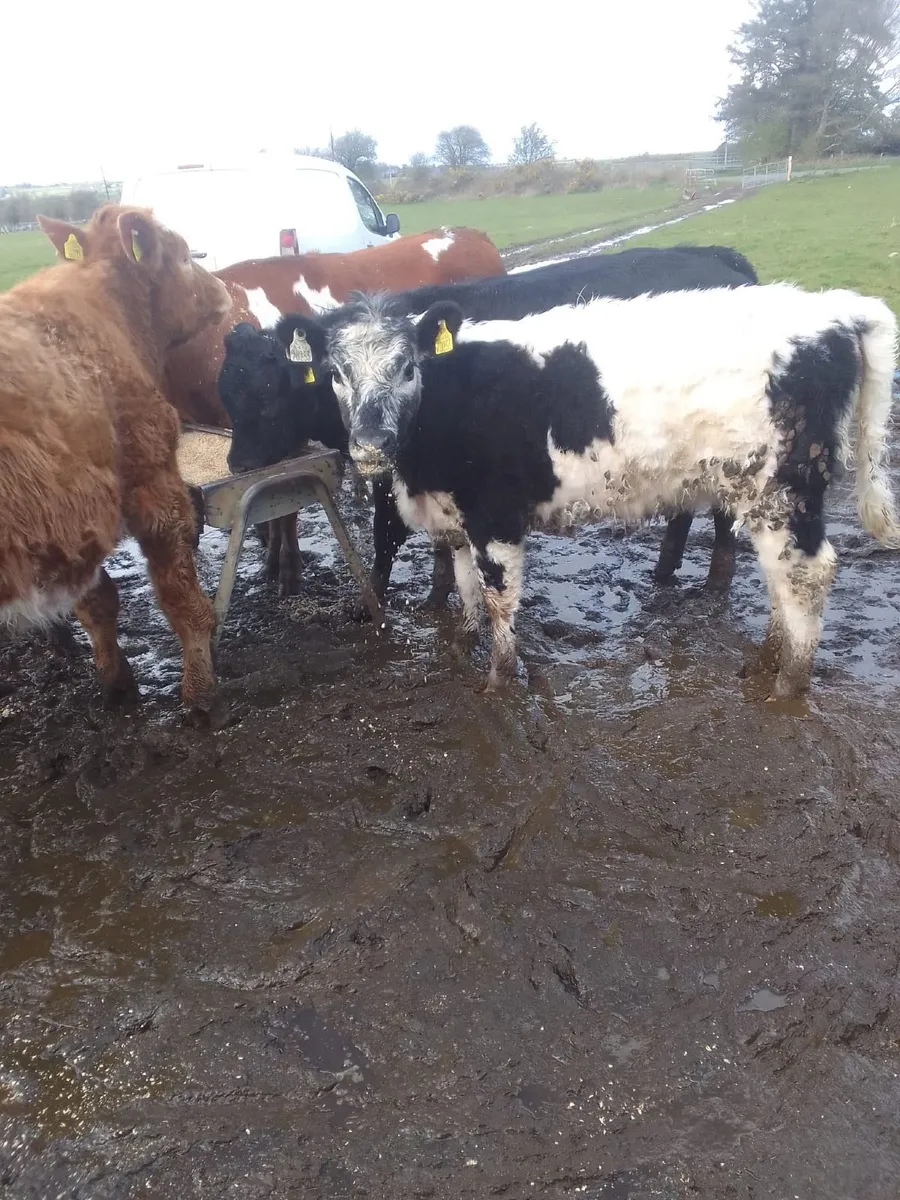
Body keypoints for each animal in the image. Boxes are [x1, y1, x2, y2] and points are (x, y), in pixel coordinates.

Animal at [1, 204, 230, 713]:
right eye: (184, 255)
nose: (223, 289)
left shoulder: (71, 515)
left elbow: (97, 601)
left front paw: (116, 679)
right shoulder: (152, 478)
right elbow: (179, 594)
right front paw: (201, 690)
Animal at [226, 244, 760, 609]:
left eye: (270, 393)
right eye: (227, 389)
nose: (236, 462)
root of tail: (716, 257)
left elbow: (385, 536)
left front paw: (373, 605)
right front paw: (439, 595)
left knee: (723, 511)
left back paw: (715, 584)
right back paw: (665, 570)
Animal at [278, 285, 900, 699]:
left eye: (408, 366)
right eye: (336, 373)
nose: (370, 444)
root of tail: (838, 308)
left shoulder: (495, 517)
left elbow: (498, 597)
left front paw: (499, 680)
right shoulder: (456, 520)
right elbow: (466, 590)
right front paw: (458, 648)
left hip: (785, 487)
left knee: (807, 573)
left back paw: (788, 685)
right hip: (760, 492)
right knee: (780, 574)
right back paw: (768, 658)